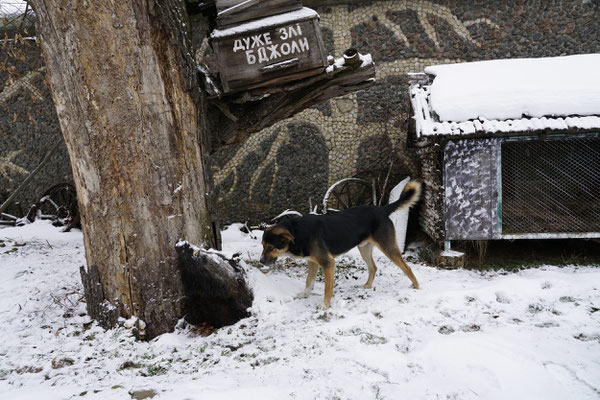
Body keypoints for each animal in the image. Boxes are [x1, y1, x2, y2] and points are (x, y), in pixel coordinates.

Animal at [258, 181, 422, 310]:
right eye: (262, 245)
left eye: (271, 247)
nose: (260, 261)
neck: (296, 232)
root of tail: (382, 209)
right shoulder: (313, 262)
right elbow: (308, 281)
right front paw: (305, 294)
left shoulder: (328, 263)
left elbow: (327, 288)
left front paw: (325, 305)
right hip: (364, 248)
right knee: (373, 267)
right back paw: (368, 286)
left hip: (388, 247)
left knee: (407, 267)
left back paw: (417, 287)